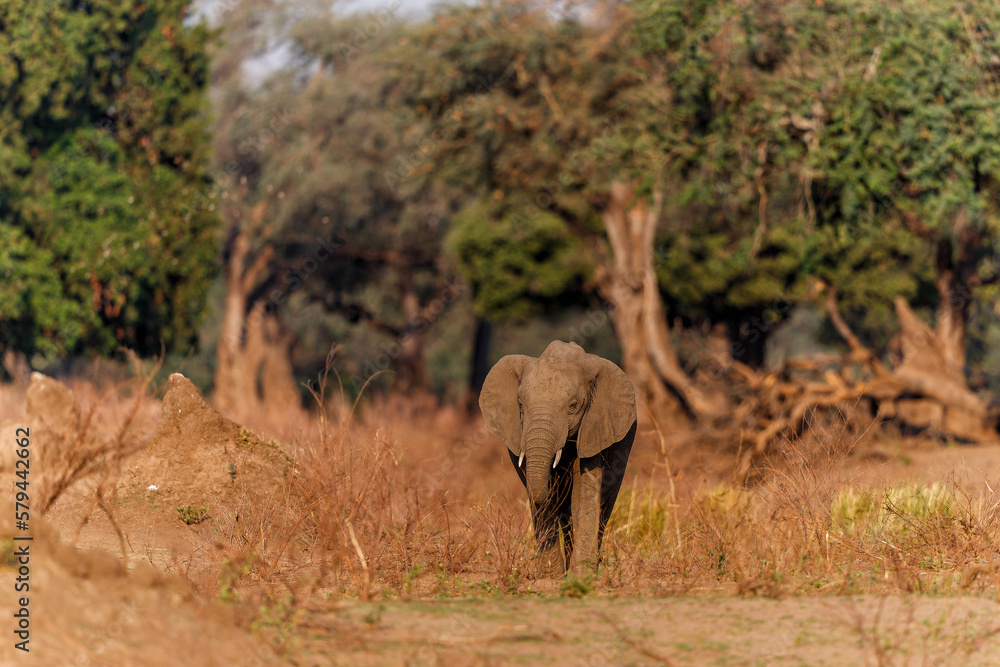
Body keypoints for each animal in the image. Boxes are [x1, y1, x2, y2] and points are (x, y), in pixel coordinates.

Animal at [479, 340, 637, 576]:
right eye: (520, 405)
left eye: (573, 406)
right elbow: (545, 501)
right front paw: (550, 577)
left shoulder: (593, 427)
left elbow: (583, 496)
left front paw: (581, 575)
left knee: (602, 507)